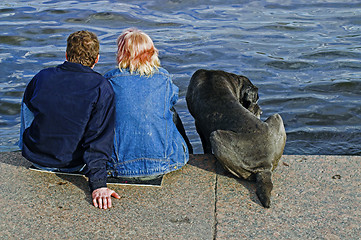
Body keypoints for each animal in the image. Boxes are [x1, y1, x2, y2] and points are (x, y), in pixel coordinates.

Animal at [186, 69, 284, 208]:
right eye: (256, 99)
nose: (261, 111)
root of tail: (265, 167)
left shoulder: (198, 125)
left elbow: (206, 146)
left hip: (215, 136)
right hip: (277, 117)